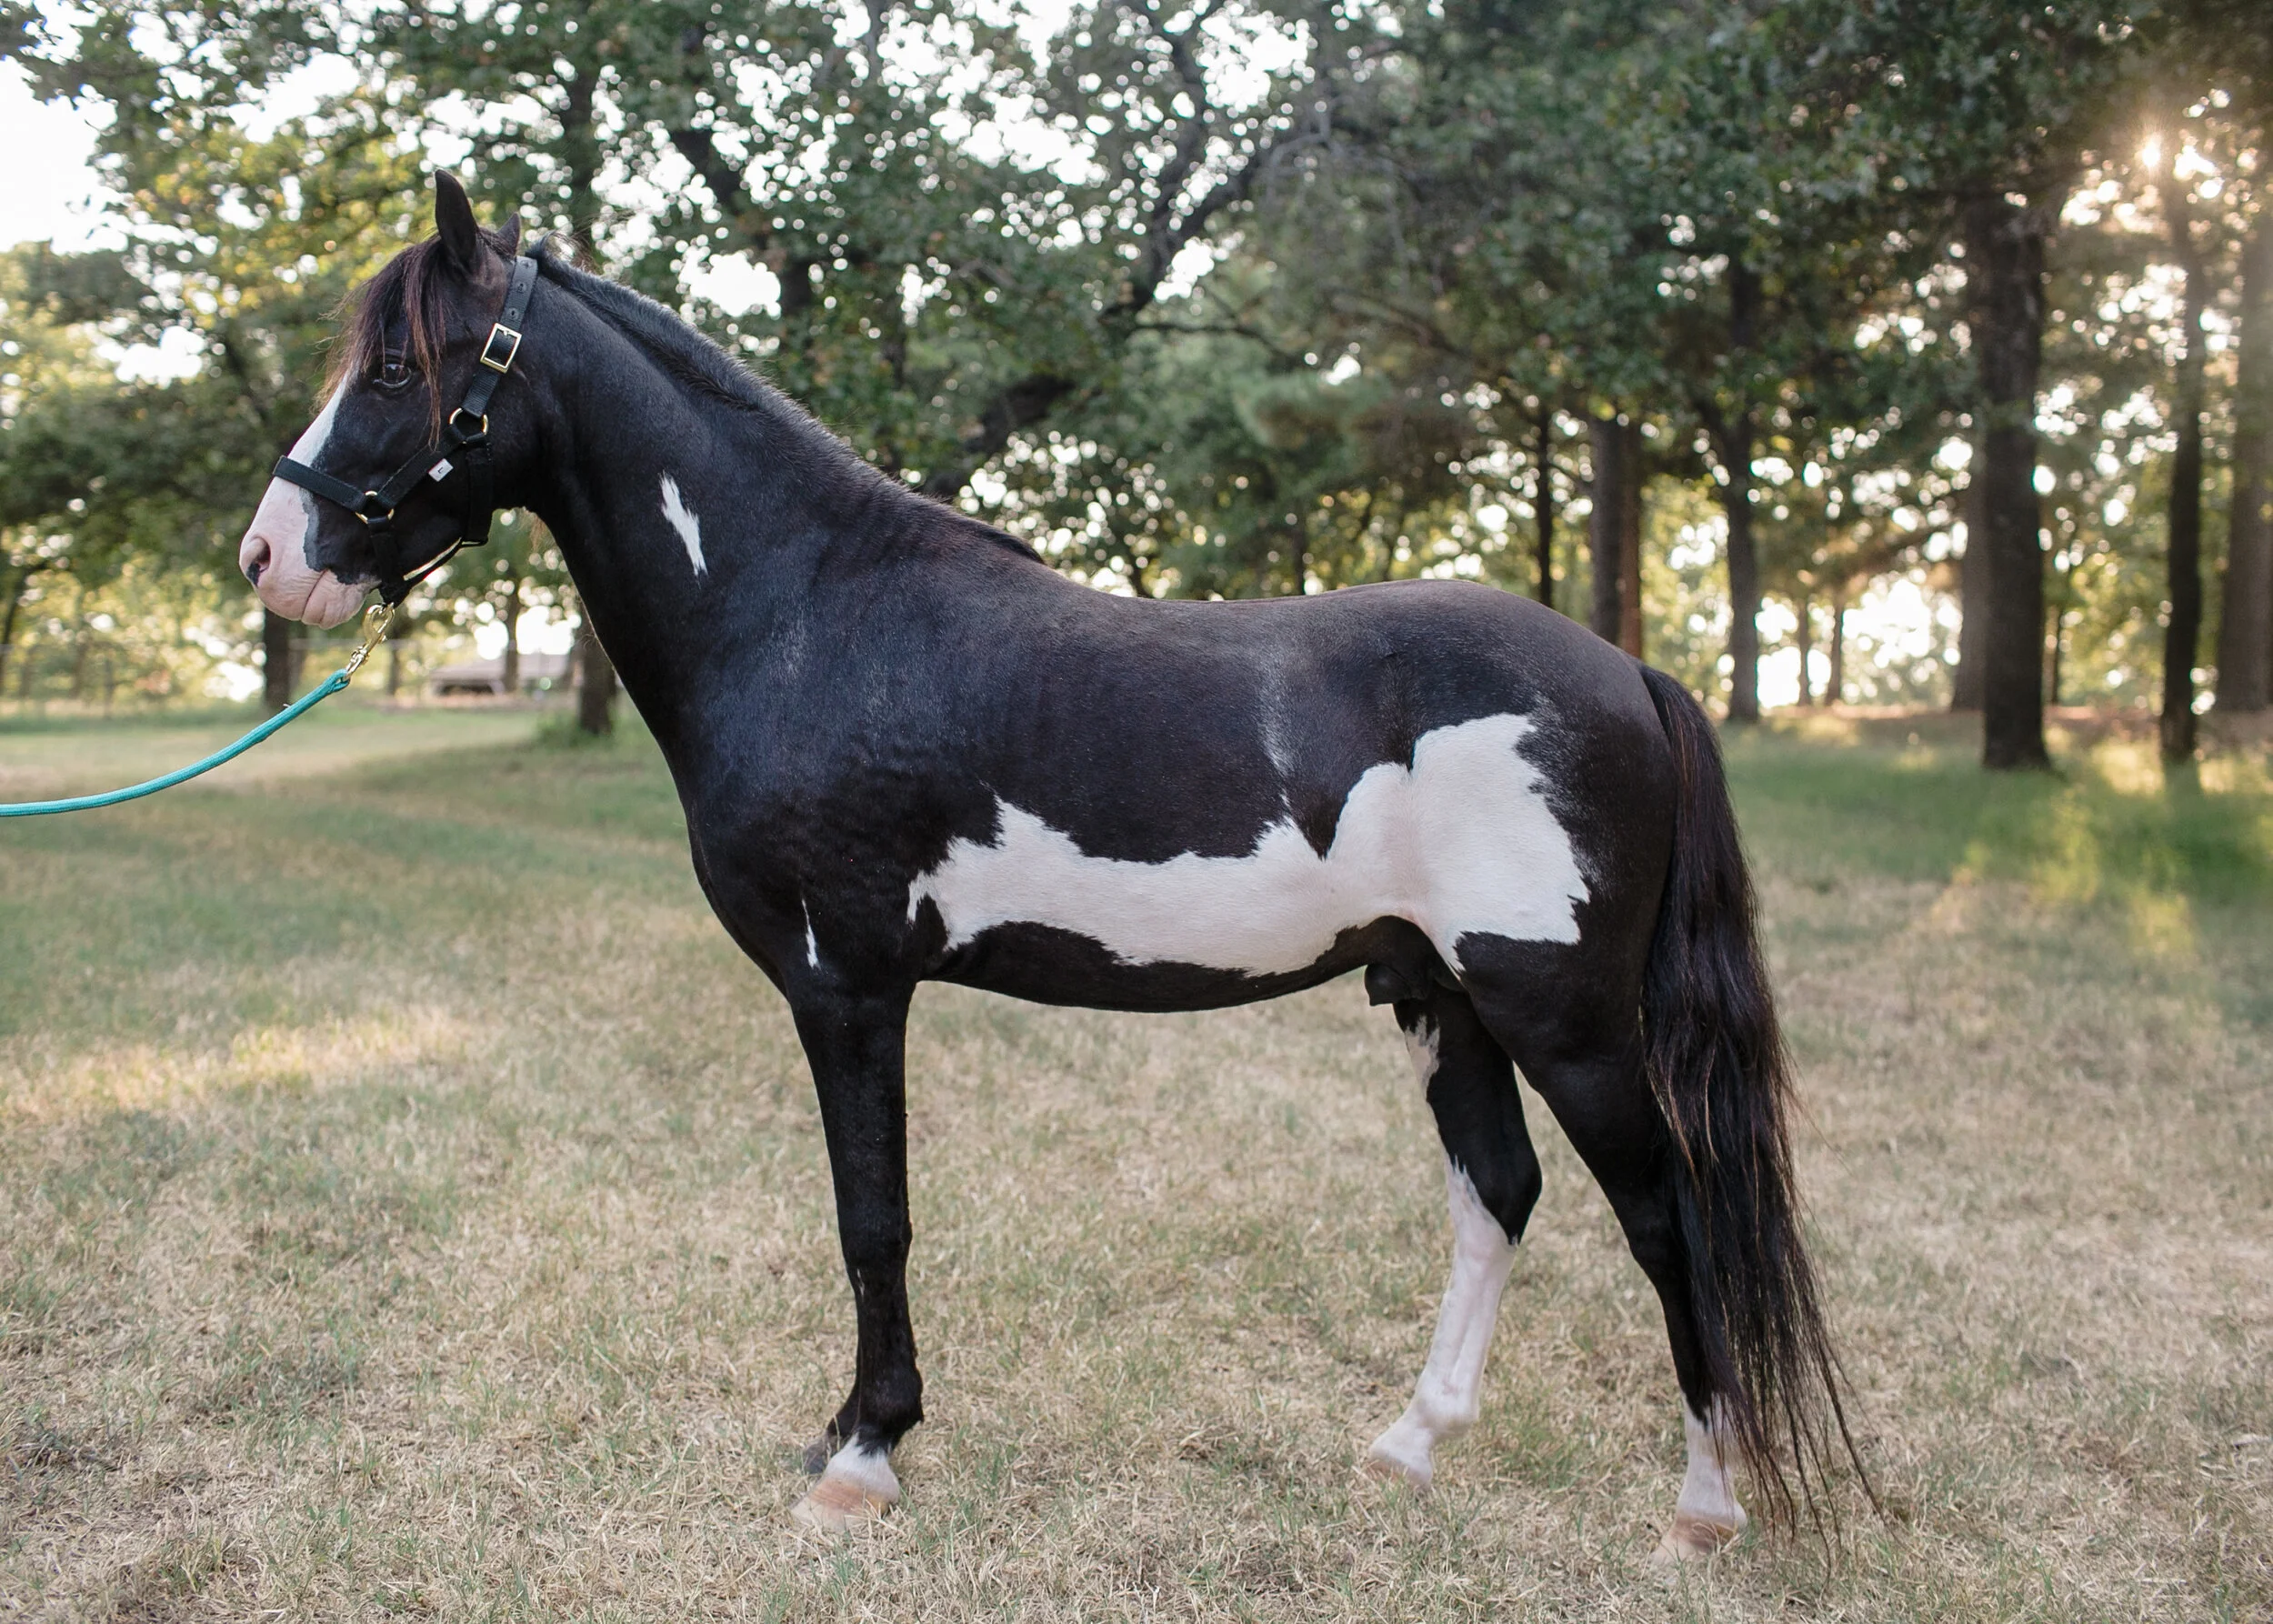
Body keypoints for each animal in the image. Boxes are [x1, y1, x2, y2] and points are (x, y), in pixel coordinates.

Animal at [240, 173, 1852, 1558]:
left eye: (400, 367)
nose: (271, 555)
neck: (811, 615)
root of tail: (1628, 672)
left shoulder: (847, 985)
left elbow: (872, 1219)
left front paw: (863, 1454)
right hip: (1439, 994)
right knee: (1498, 1191)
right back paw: (1407, 1447)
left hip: (1561, 1014)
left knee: (1671, 1213)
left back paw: (1704, 1507)